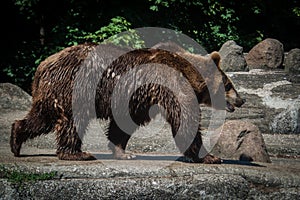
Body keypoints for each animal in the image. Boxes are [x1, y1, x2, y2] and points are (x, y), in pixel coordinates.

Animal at [9, 42, 244, 162]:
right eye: (228, 84)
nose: (241, 99)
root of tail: (44, 64)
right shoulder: (169, 85)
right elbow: (185, 119)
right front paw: (209, 156)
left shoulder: (138, 99)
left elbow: (124, 124)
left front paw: (124, 151)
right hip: (76, 87)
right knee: (71, 121)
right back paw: (77, 153)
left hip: (53, 92)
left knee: (42, 116)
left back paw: (16, 140)